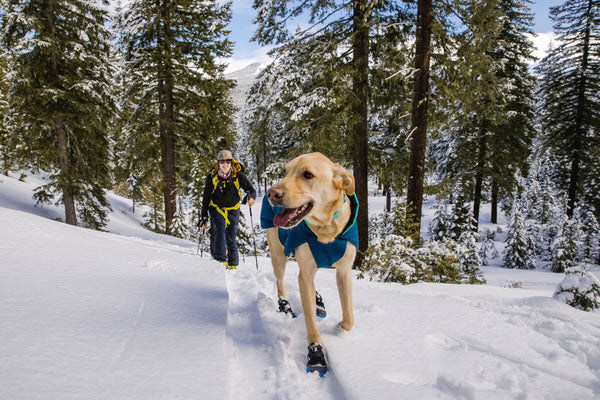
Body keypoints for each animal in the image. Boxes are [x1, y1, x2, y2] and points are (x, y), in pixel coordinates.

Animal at [260, 152, 358, 376]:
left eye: (307, 174)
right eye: (285, 171)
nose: (272, 194)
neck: (325, 228)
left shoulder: (344, 271)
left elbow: (349, 317)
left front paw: (341, 328)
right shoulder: (304, 274)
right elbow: (311, 324)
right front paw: (316, 355)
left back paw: (318, 300)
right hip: (279, 255)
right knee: (280, 282)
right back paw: (285, 306)